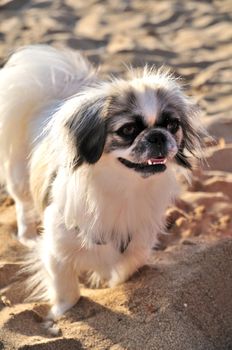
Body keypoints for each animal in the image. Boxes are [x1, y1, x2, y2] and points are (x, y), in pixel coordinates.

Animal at [0, 45, 205, 318]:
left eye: (172, 125)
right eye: (128, 130)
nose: (158, 136)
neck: (123, 187)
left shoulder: (138, 243)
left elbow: (124, 271)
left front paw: (109, 285)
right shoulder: (57, 251)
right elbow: (68, 292)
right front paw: (58, 316)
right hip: (19, 179)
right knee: (23, 205)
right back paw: (26, 235)